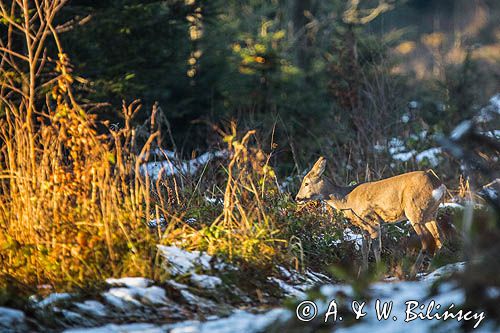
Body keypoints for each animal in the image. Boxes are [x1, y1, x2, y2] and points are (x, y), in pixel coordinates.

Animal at [294, 156, 444, 270]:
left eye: (306, 183)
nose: (297, 198)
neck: (347, 200)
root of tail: (437, 184)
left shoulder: (372, 221)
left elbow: (377, 248)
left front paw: (378, 271)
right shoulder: (363, 226)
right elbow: (364, 249)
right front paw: (364, 271)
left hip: (414, 209)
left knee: (426, 239)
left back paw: (414, 271)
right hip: (430, 213)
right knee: (439, 238)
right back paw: (432, 268)